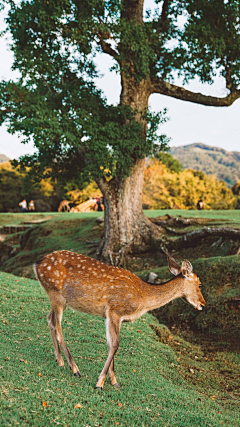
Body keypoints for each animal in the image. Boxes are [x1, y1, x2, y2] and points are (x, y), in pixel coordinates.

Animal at [34, 252, 206, 390]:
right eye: (199, 284)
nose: (203, 304)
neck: (142, 298)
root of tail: (37, 263)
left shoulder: (112, 316)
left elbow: (110, 344)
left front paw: (114, 381)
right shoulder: (115, 310)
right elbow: (115, 344)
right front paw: (100, 383)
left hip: (59, 299)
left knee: (49, 319)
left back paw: (60, 361)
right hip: (56, 293)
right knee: (57, 325)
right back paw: (75, 369)